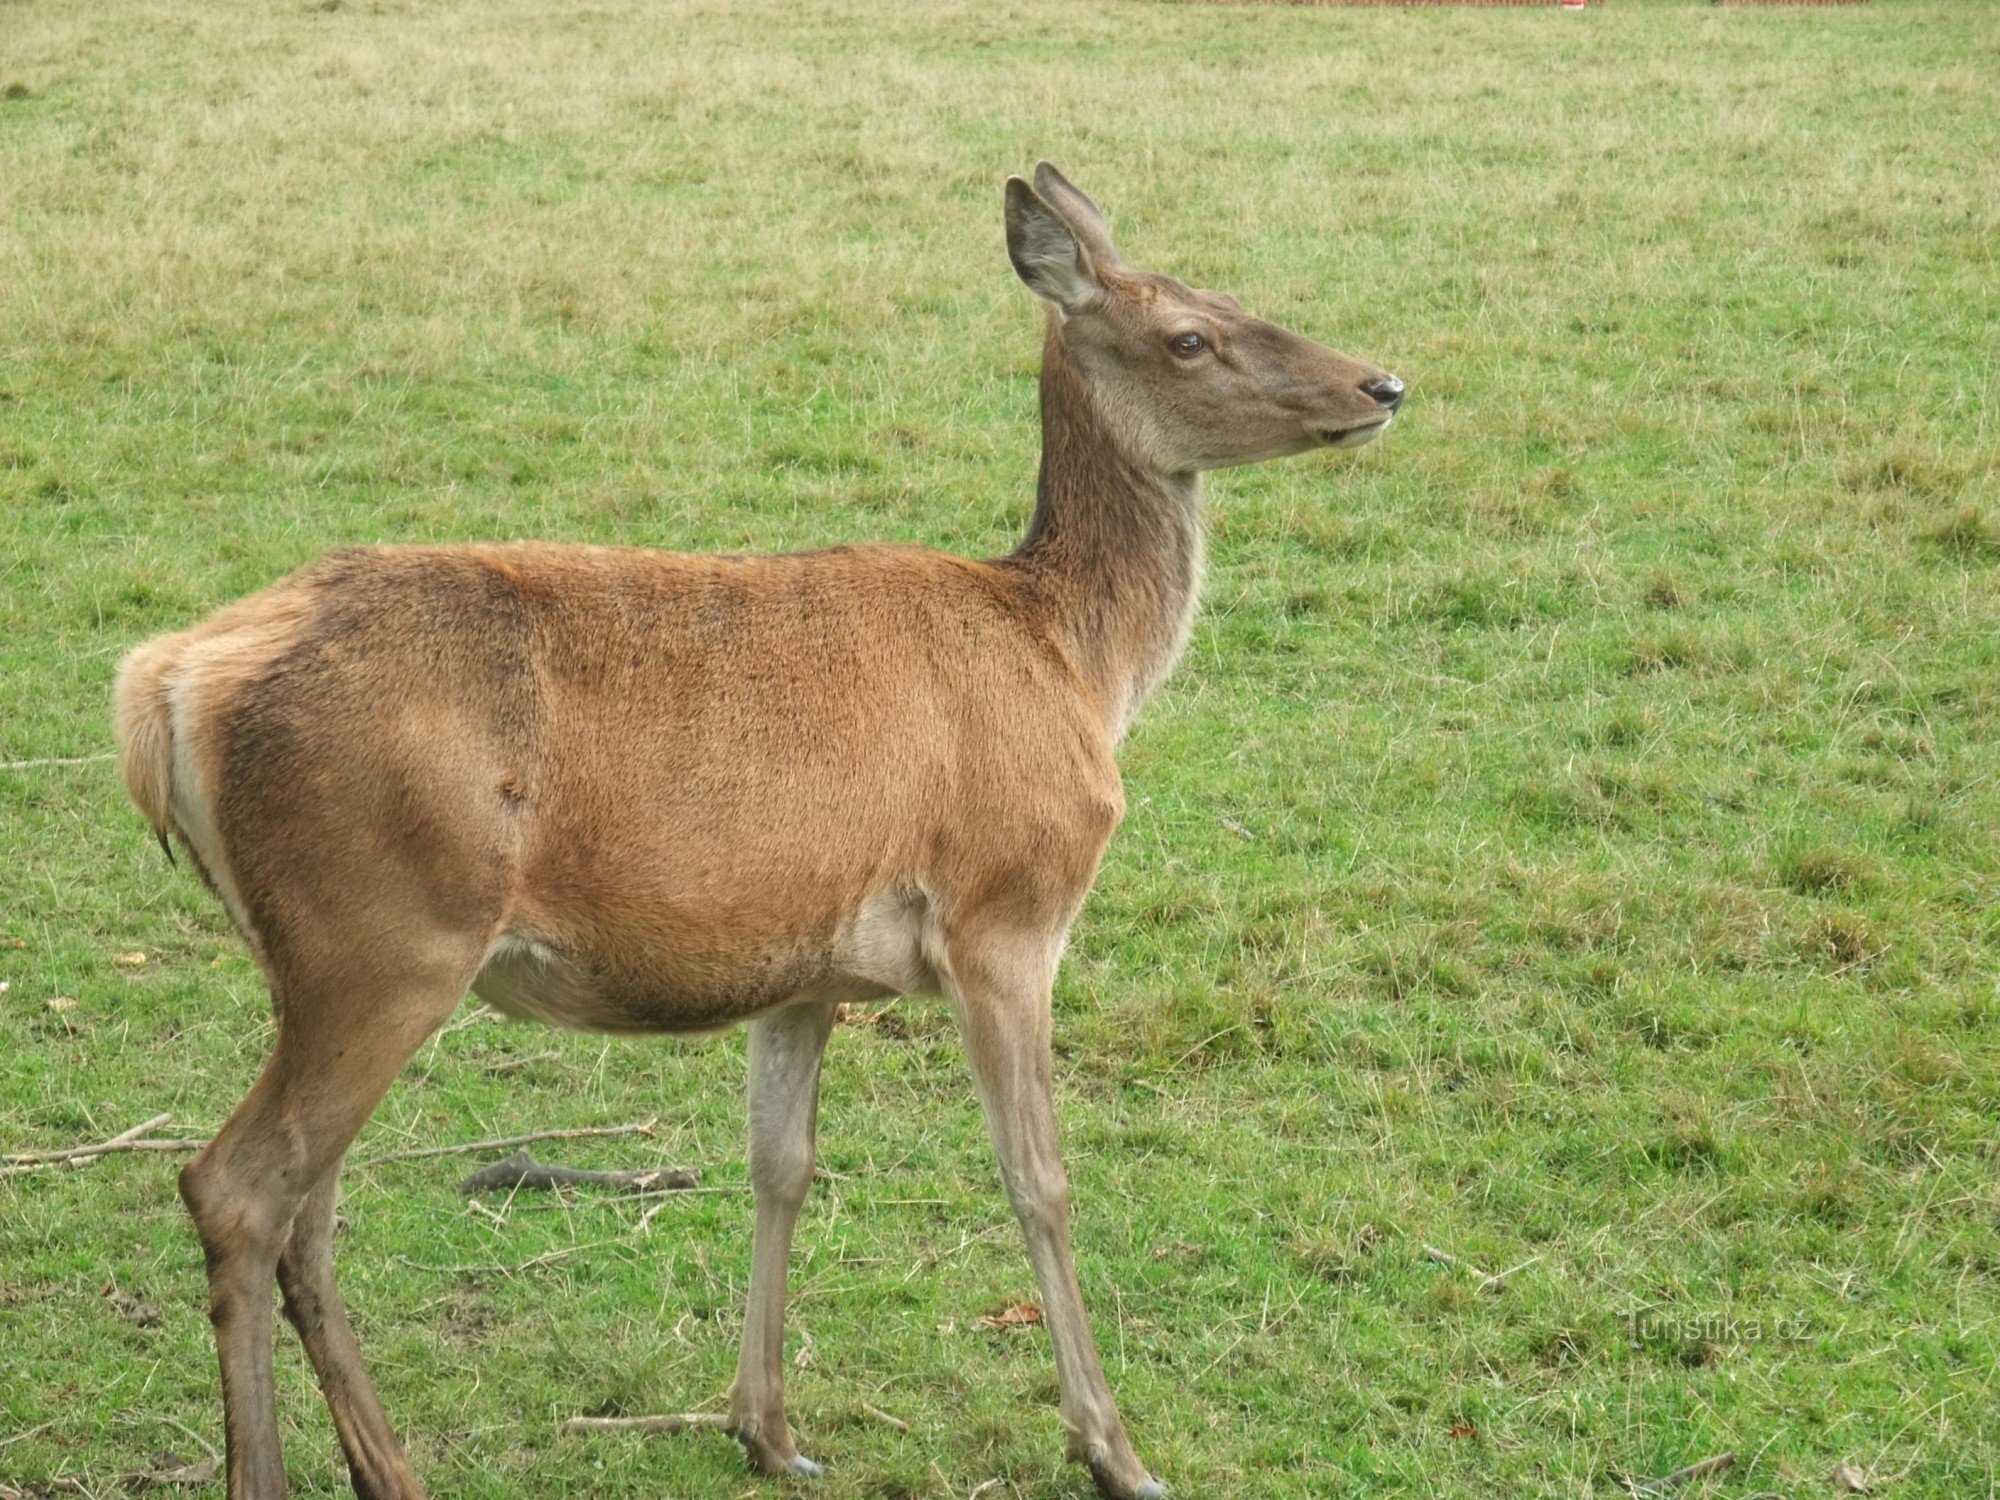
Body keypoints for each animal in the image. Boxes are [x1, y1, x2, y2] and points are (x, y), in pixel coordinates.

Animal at [113, 164, 1408, 1500]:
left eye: (1234, 295)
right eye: (1187, 336)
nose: (1381, 386)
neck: (1076, 661)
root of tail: (162, 688)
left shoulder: (804, 967)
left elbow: (779, 1163)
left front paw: (769, 1431)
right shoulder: (1007, 911)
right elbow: (1036, 1177)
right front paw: (1114, 1450)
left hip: (321, 964)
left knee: (309, 1208)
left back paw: (391, 1471)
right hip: (385, 937)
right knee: (238, 1185)